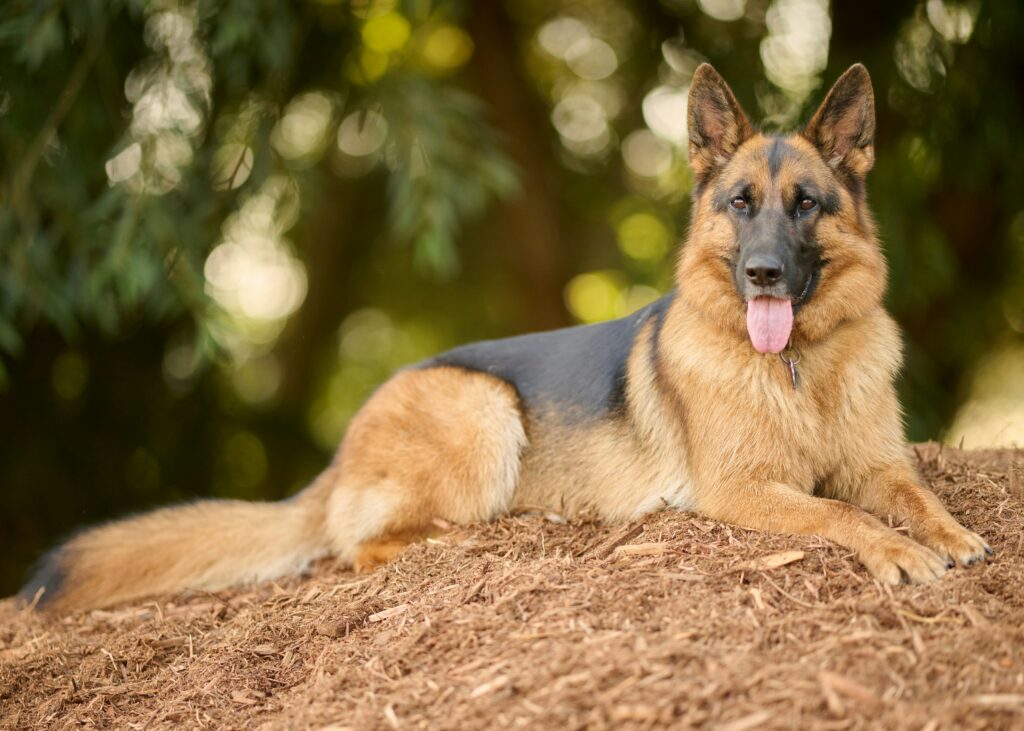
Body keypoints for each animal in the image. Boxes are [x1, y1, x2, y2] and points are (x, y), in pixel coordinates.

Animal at [18, 61, 991, 610]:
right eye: (740, 203)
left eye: (807, 206)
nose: (760, 275)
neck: (797, 367)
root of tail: (346, 444)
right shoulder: (740, 489)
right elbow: (836, 512)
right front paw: (897, 552)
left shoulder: (879, 461)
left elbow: (910, 495)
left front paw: (946, 535)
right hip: (483, 409)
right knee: (365, 545)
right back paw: (480, 533)